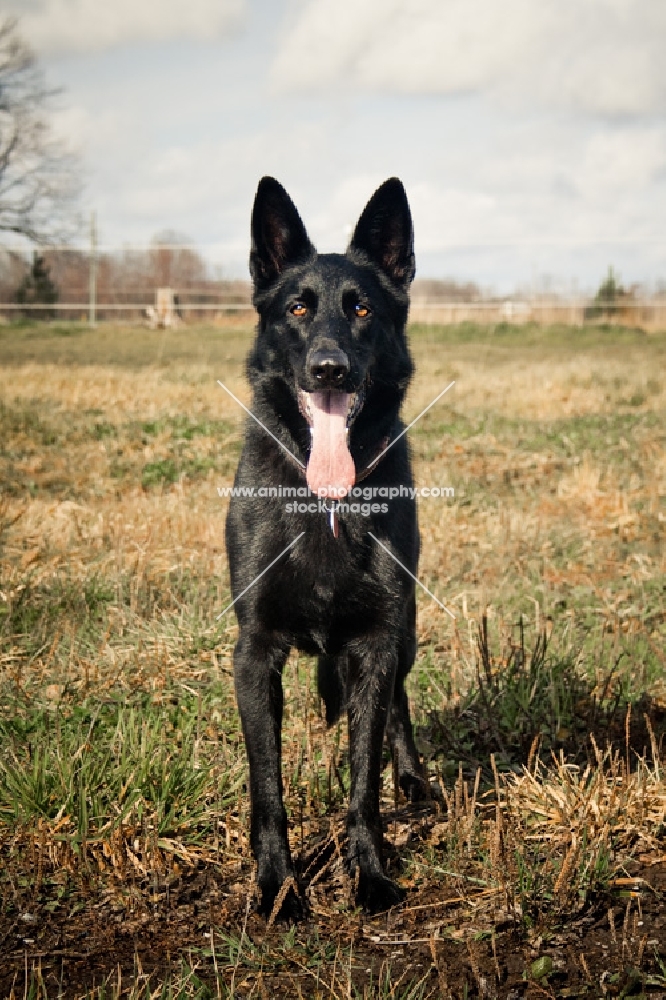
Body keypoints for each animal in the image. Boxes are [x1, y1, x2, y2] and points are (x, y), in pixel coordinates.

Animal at [226, 176, 426, 916]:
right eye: (298, 308)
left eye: (362, 308)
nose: (330, 368)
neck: (327, 503)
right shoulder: (254, 655)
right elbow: (268, 789)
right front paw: (278, 886)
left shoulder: (374, 643)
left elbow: (363, 782)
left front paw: (369, 874)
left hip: (405, 635)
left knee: (399, 704)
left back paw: (416, 781)